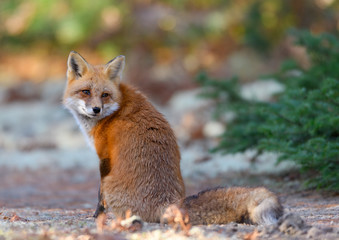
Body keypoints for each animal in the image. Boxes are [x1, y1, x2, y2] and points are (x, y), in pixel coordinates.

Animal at [62, 51, 282, 225]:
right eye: (86, 92)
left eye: (105, 95)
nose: (96, 109)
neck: (115, 108)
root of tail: (170, 203)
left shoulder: (104, 158)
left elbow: (100, 196)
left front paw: (97, 215)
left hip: (111, 182)